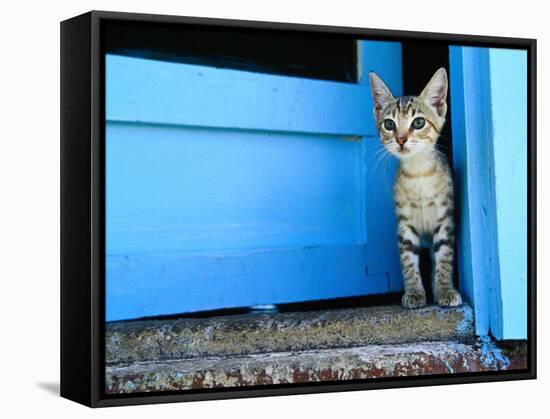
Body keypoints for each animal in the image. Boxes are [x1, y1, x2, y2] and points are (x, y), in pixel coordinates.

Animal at [370, 69, 462, 310]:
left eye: (419, 122)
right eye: (389, 124)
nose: (401, 139)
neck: (418, 174)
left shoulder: (445, 220)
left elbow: (444, 257)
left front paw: (445, 289)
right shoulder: (404, 225)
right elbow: (408, 261)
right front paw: (413, 292)